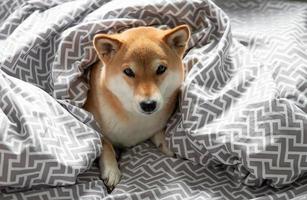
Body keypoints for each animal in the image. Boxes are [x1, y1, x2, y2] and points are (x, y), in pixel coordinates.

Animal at [84, 25, 190, 189]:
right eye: (128, 71)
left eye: (161, 68)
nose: (148, 105)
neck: (136, 121)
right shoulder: (91, 121)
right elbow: (105, 144)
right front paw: (111, 170)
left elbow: (159, 132)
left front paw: (168, 145)